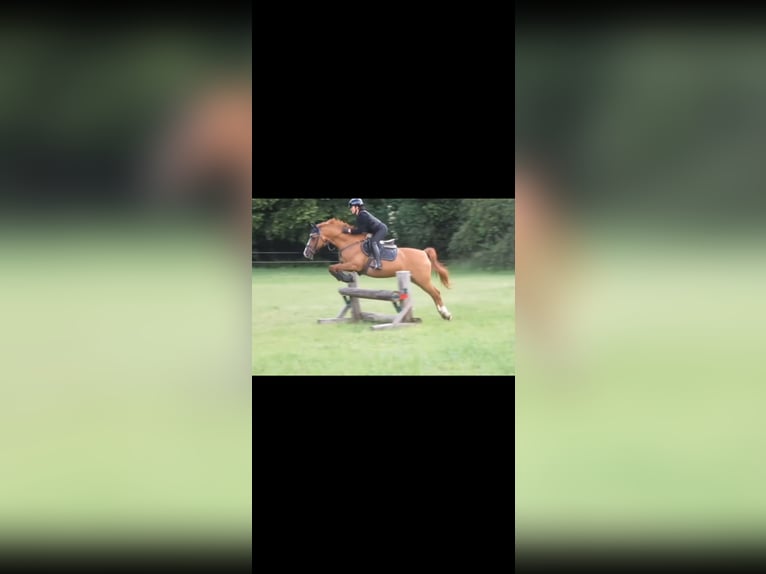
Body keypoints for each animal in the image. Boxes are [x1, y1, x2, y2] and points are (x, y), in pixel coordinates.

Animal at [303, 218, 453, 320]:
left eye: (312, 237)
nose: (306, 253)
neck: (349, 243)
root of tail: (423, 252)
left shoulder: (354, 265)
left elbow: (332, 267)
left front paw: (345, 277)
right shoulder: (347, 264)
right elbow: (335, 267)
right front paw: (348, 277)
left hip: (422, 279)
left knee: (436, 293)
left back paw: (446, 314)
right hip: (416, 279)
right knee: (433, 293)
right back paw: (443, 314)